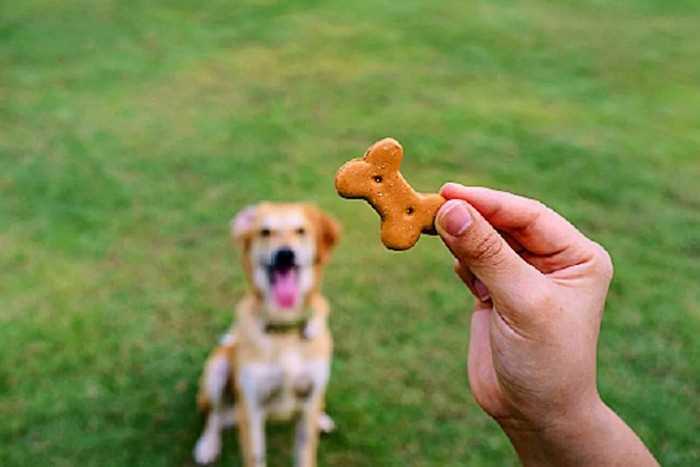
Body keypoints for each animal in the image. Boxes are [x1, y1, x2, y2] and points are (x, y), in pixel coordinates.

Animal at [194, 203, 342, 467]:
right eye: (265, 232)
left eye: (301, 231)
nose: (285, 254)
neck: (284, 329)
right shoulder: (251, 408)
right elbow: (255, 456)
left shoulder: (309, 397)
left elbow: (305, 452)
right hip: (217, 370)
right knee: (214, 414)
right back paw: (207, 445)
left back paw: (322, 419)